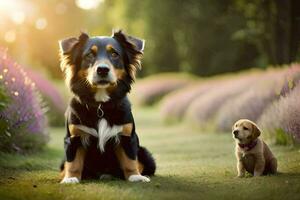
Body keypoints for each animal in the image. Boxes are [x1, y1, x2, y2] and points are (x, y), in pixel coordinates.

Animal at [59, 28, 156, 184]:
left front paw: (135, 176)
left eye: (114, 54)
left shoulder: (127, 135)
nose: (102, 70)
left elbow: (130, 160)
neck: (101, 105)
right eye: (89, 55)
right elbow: (73, 163)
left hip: (145, 154)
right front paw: (71, 178)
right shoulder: (74, 137)